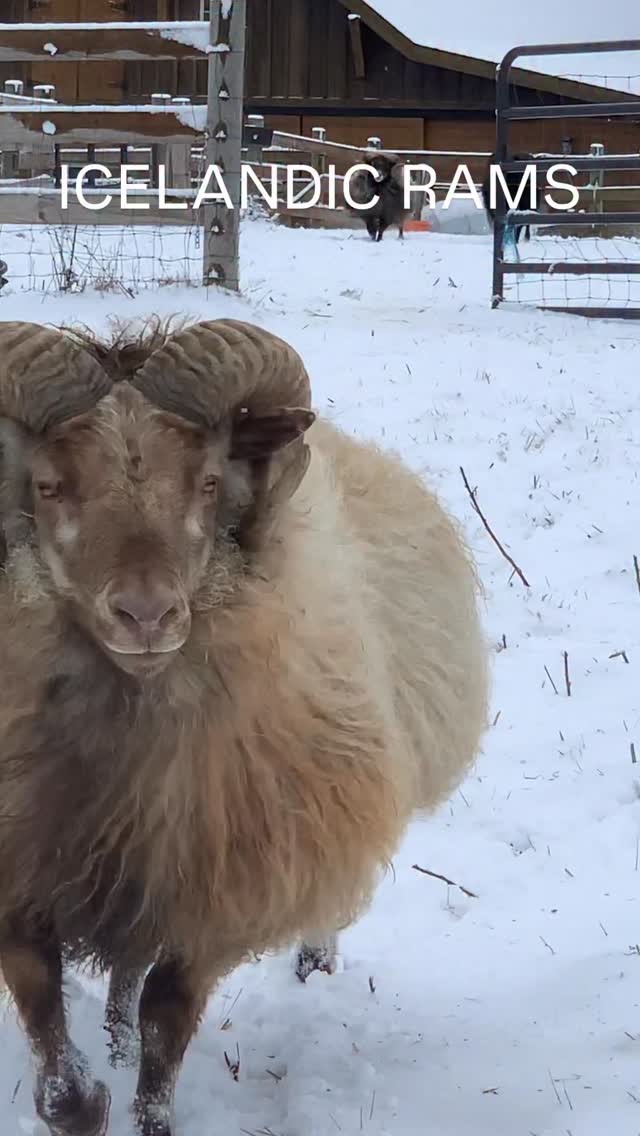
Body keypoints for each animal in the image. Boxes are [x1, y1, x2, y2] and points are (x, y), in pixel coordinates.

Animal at [0, 316, 489, 1136]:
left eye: (205, 482)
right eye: (48, 485)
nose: (146, 616)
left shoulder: (219, 890)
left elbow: (168, 1023)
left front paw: (149, 1112)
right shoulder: (24, 872)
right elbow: (54, 1042)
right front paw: (85, 1096)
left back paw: (311, 965)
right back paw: (114, 1038)